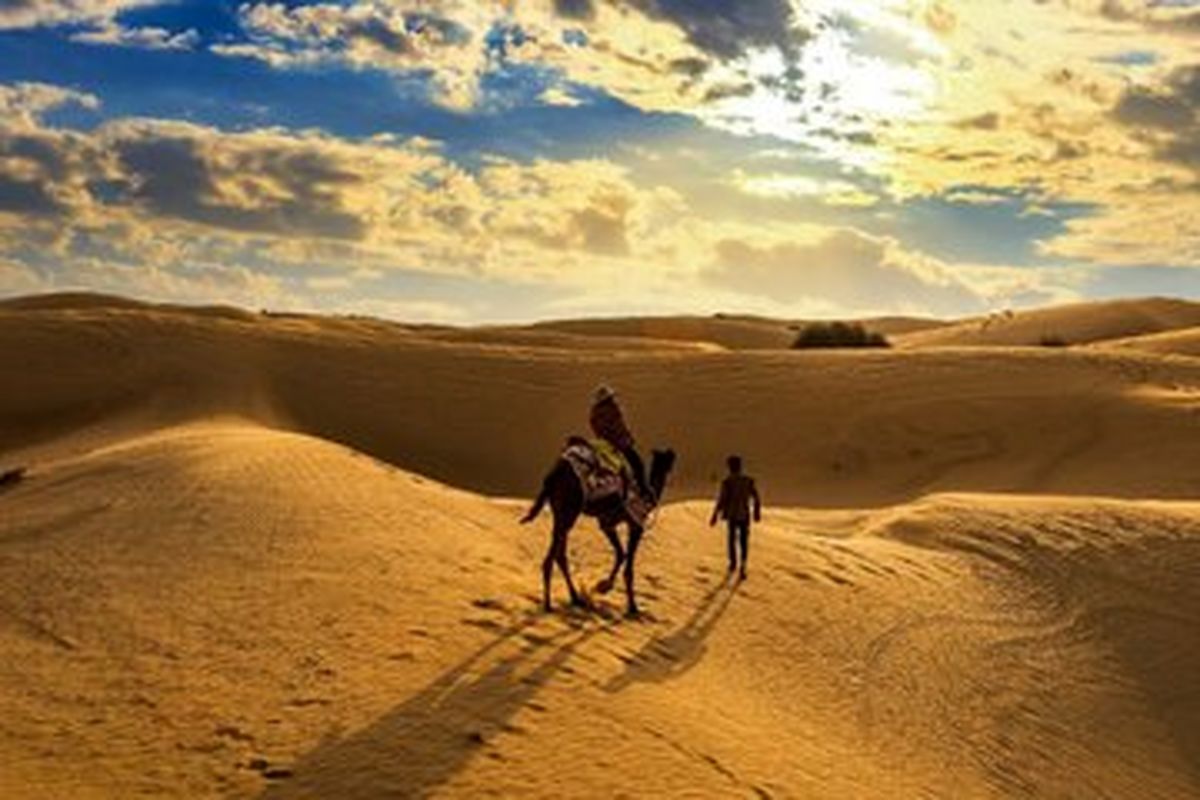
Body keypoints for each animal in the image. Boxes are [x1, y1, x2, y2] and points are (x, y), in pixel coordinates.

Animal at [523, 448, 681, 618]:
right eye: (668, 461)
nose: (671, 469)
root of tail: (553, 475)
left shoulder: (607, 524)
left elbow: (621, 554)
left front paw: (604, 586)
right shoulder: (635, 525)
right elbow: (628, 566)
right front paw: (632, 607)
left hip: (560, 513)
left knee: (560, 555)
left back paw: (575, 598)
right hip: (569, 511)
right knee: (550, 559)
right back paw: (548, 605)